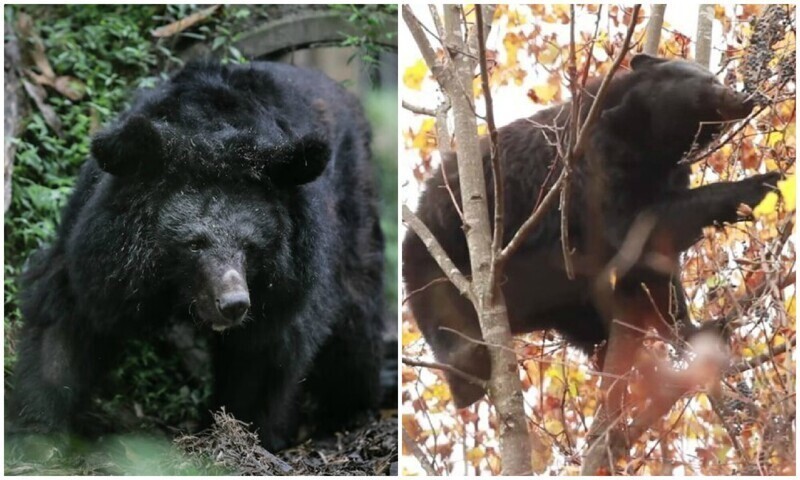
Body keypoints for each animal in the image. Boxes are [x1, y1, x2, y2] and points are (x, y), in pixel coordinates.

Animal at [10, 61, 386, 450]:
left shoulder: (287, 279)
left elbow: (266, 351)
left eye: (251, 247)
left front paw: (246, 432)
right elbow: (65, 321)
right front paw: (38, 431)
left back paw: (348, 410)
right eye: (193, 243)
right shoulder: (97, 246)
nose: (234, 304)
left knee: (356, 312)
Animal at [404, 55, 780, 408]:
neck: (648, 143)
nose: (745, 97)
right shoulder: (589, 161)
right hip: (437, 255)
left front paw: (695, 329)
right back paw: (468, 366)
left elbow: (656, 263)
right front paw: (758, 184)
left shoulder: (667, 173)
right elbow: (627, 229)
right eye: (708, 79)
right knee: (443, 317)